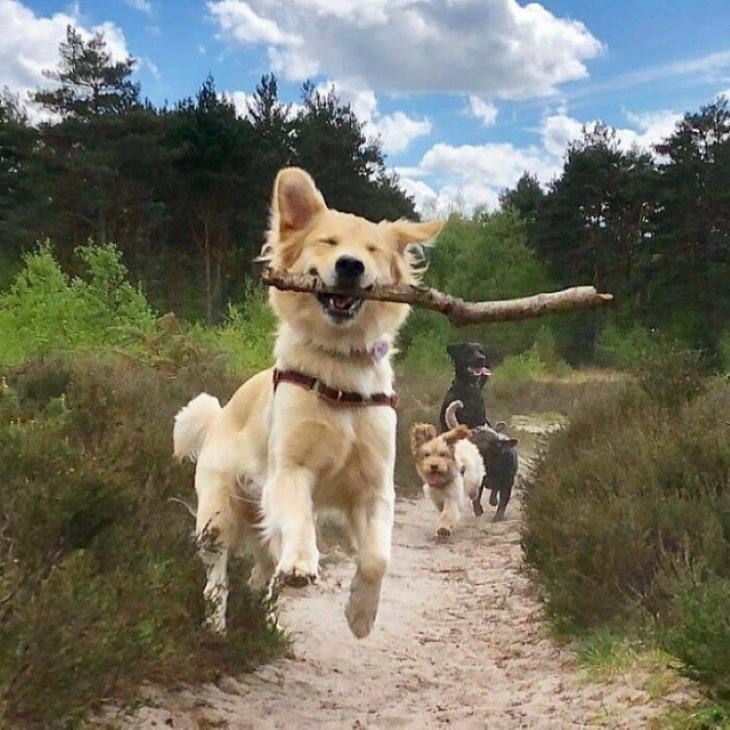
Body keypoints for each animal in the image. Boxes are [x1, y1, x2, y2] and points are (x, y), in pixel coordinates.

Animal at [173, 168, 440, 636]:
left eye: (372, 249)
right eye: (328, 242)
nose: (350, 265)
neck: (339, 371)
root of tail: (220, 414)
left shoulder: (375, 487)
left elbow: (377, 557)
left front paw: (361, 614)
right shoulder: (289, 471)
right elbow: (299, 521)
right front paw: (300, 564)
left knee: (262, 568)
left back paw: (266, 614)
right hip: (218, 515)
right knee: (217, 577)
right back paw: (219, 625)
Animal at [410, 404, 484, 536]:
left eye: (442, 454)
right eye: (426, 455)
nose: (434, 466)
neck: (441, 482)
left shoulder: (453, 497)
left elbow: (448, 512)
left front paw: (444, 528)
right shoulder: (436, 498)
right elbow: (442, 510)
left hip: (476, 474)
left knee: (474, 488)